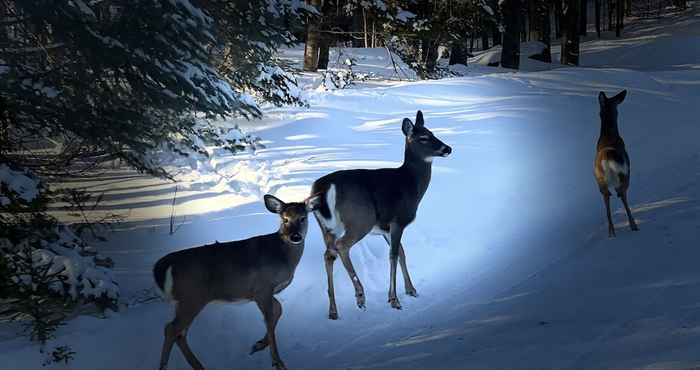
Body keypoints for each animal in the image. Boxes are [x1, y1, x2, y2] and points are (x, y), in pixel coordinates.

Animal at [154, 194, 322, 370]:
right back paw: (165, 366)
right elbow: (269, 319)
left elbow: (279, 310)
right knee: (171, 329)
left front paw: (260, 344)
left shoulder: (264, 292)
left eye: (303, 218)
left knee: (179, 333)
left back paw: (198, 366)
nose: (295, 237)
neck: (282, 257)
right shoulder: (262, 288)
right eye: (285, 219)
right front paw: (277, 362)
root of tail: (165, 264)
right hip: (192, 297)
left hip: (185, 300)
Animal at [308, 109, 452, 318]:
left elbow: (402, 253)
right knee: (341, 246)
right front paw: (394, 299)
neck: (411, 184)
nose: (448, 148)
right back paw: (360, 295)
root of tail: (324, 187)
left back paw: (333, 310)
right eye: (424, 138)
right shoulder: (398, 220)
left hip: (327, 227)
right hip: (361, 220)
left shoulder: (384, 228)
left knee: (329, 254)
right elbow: (393, 255)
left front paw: (411, 289)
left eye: (432, 132)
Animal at [592, 91, 636, 238]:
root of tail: (607, 157)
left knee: (607, 197)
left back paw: (611, 233)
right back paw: (634, 226)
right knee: (622, 194)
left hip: (599, 180)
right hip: (623, 175)